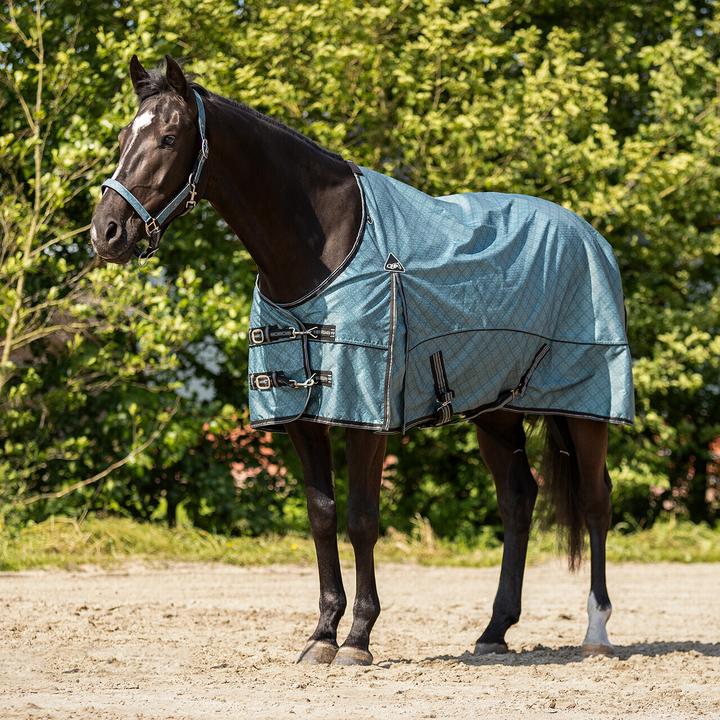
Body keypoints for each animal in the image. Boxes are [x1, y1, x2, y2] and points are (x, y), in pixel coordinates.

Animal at [91, 55, 633, 666]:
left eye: (168, 137)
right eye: (122, 137)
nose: (105, 232)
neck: (324, 248)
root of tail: (590, 236)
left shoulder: (366, 410)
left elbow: (362, 521)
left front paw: (358, 638)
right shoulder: (301, 414)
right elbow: (322, 516)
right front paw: (322, 634)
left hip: (587, 405)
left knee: (596, 500)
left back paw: (596, 632)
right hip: (496, 411)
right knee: (518, 501)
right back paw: (494, 631)